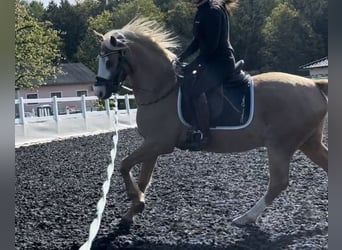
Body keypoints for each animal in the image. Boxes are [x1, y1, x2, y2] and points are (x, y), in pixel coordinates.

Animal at [93, 18, 328, 228]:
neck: (162, 88)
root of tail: (314, 84)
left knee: (278, 183)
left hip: (280, 146)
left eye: (108, 61)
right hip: (308, 143)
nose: (99, 91)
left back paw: (246, 218)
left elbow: (124, 165)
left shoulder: (159, 143)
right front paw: (132, 210)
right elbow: (142, 178)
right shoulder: (152, 145)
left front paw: (136, 202)